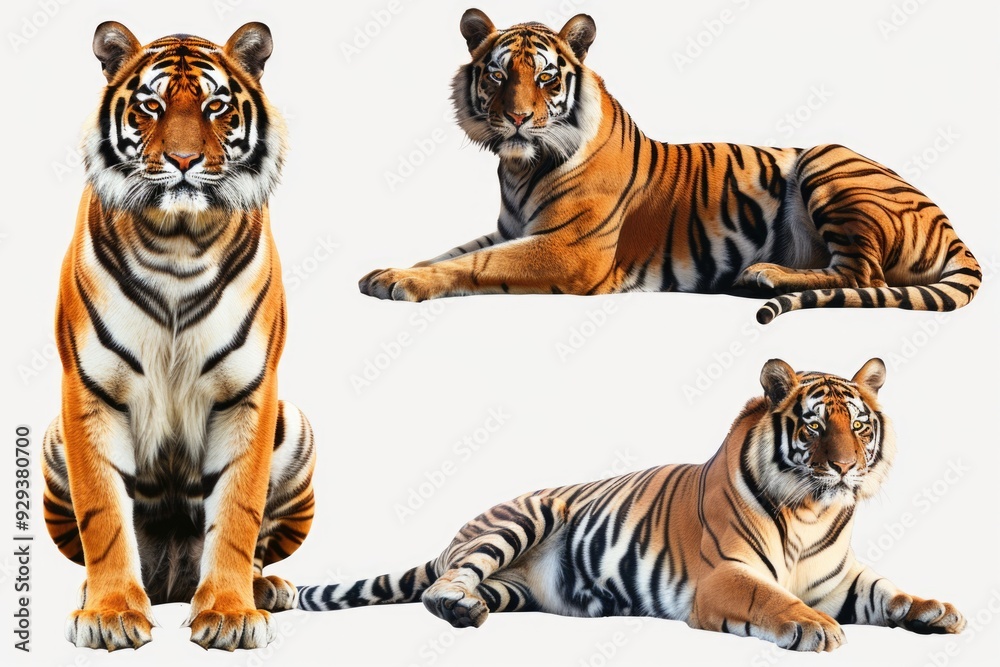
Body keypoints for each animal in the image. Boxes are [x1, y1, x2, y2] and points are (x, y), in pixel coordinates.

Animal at [40, 21, 315, 651]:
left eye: (215, 106)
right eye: (151, 106)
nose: (184, 160)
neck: (178, 240)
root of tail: (171, 579)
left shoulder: (248, 392)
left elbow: (238, 512)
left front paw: (232, 614)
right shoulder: (89, 391)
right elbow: (104, 516)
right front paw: (110, 613)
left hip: (295, 427)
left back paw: (265, 589)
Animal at [298, 358, 965, 651]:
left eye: (859, 425)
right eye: (816, 426)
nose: (846, 468)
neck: (811, 513)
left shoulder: (841, 578)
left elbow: (889, 591)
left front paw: (936, 611)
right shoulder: (724, 577)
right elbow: (771, 599)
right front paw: (814, 628)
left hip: (515, 590)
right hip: (518, 521)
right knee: (448, 580)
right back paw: (455, 607)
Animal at [359, 9, 981, 324]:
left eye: (545, 77)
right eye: (496, 74)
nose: (515, 118)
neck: (519, 168)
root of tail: (951, 225)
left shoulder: (571, 249)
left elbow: (478, 265)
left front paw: (401, 283)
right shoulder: (513, 228)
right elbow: (451, 252)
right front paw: (388, 270)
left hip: (828, 158)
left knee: (863, 274)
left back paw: (764, 275)